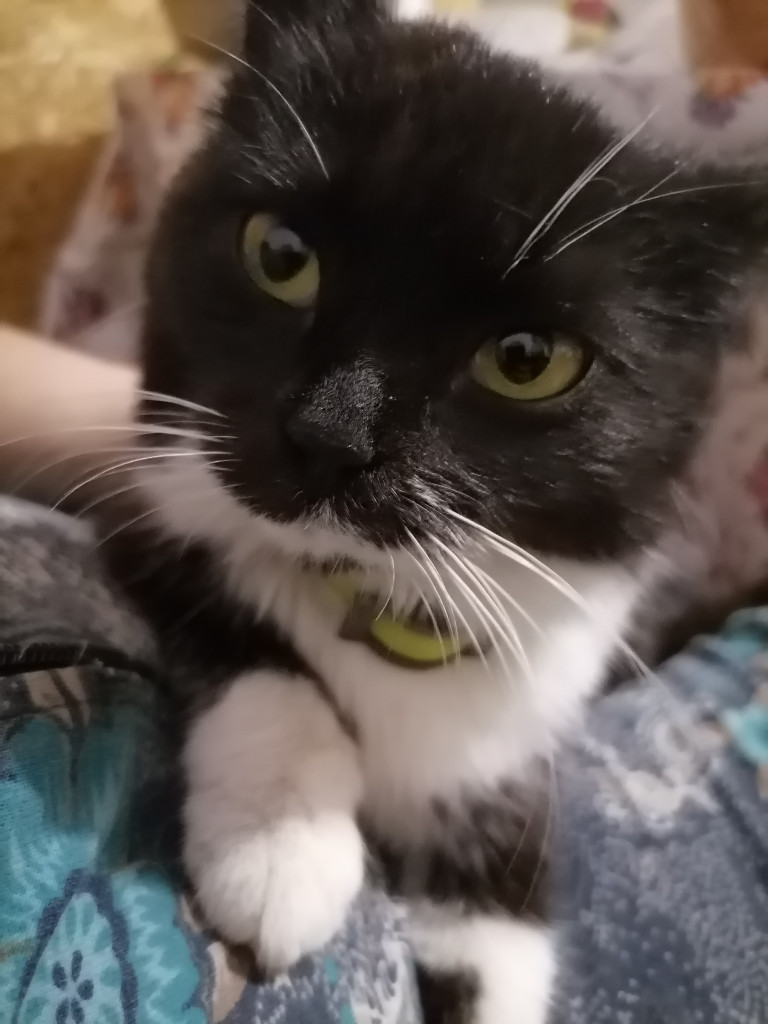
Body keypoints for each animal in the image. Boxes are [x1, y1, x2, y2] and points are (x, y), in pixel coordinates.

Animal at [101, 1, 768, 1021]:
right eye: (281, 256)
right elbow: (241, 628)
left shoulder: (525, 720)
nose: (331, 435)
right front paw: (283, 842)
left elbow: (495, 918)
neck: (383, 597)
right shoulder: (137, 499)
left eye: (527, 360)